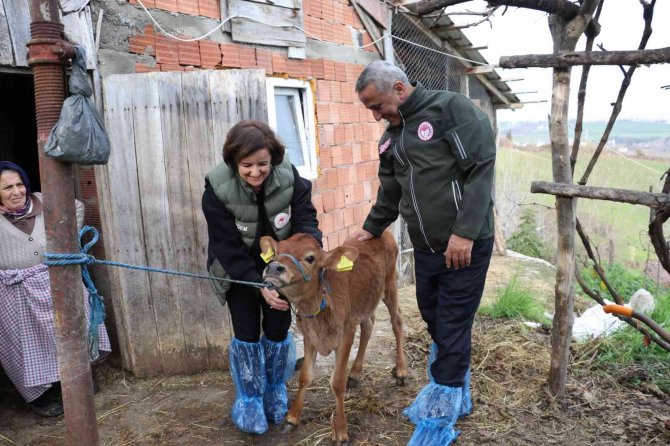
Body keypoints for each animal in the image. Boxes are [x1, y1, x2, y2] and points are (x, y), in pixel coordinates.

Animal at [262, 232, 410, 444]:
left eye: (310, 258)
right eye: (277, 252)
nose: (274, 267)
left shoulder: (346, 334)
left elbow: (337, 382)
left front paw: (340, 430)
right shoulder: (310, 335)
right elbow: (305, 377)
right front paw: (293, 417)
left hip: (390, 285)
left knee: (396, 321)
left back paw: (401, 371)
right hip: (366, 301)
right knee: (368, 325)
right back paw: (355, 373)